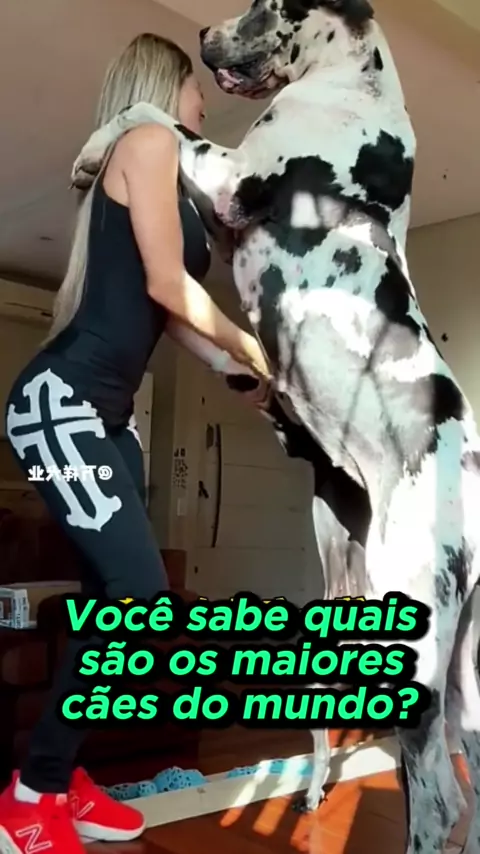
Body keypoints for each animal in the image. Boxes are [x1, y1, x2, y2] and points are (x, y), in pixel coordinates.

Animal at [71, 1, 480, 851]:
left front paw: (94, 153)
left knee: (436, 796)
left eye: (264, 5)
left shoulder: (229, 177)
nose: (201, 35)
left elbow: (148, 116)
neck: (351, 84)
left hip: (416, 642)